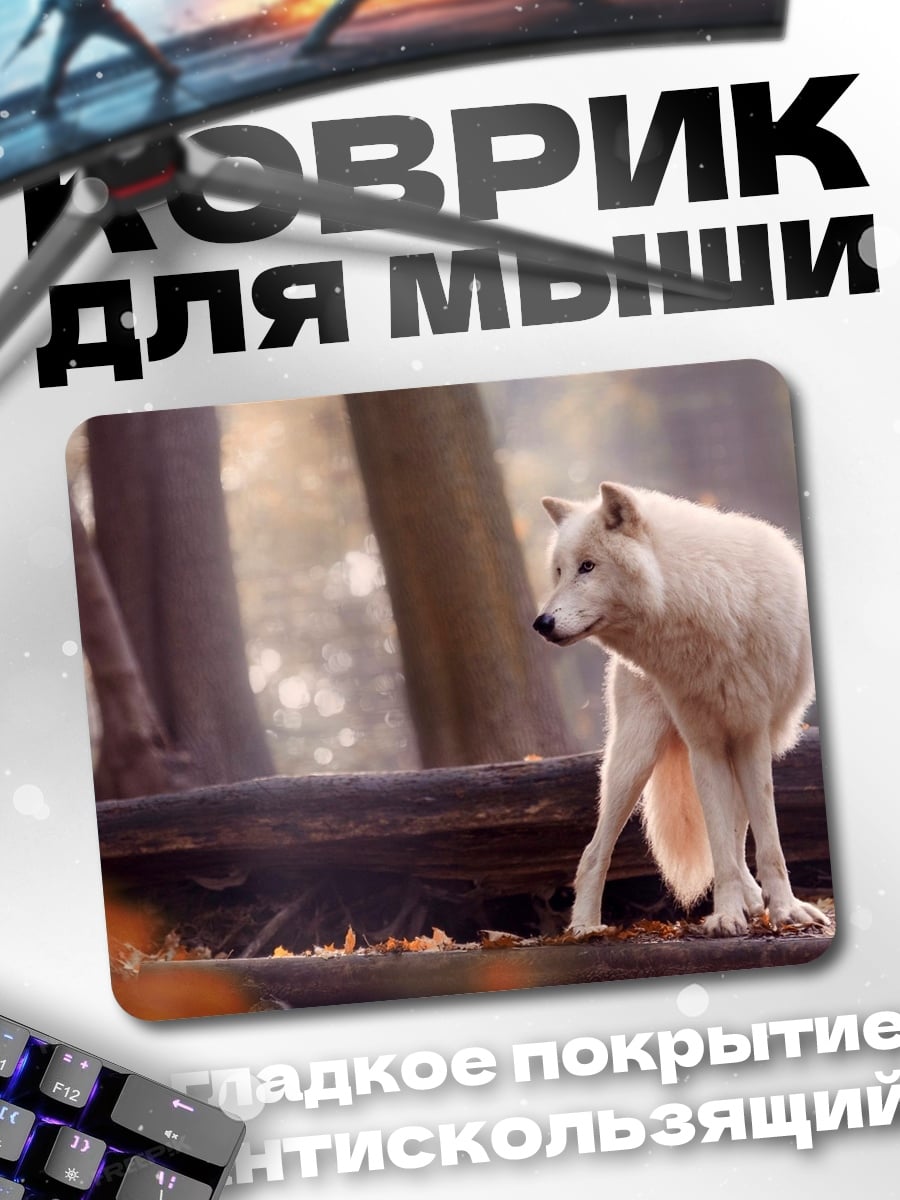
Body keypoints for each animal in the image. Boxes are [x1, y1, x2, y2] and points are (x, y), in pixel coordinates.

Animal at [533, 482, 829, 937]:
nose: (542, 623)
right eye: (560, 572)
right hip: (633, 760)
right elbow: (720, 847)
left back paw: (754, 899)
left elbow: (766, 843)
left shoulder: (750, 734)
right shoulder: (703, 743)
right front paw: (726, 916)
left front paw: (784, 912)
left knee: (740, 831)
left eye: (588, 566)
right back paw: (584, 927)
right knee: (593, 853)